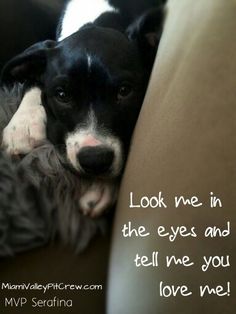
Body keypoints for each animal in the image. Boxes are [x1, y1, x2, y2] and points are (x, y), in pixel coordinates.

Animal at [0, 0, 165, 227]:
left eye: (124, 91)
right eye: (62, 94)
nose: (95, 160)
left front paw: (103, 187)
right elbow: (34, 80)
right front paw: (22, 125)